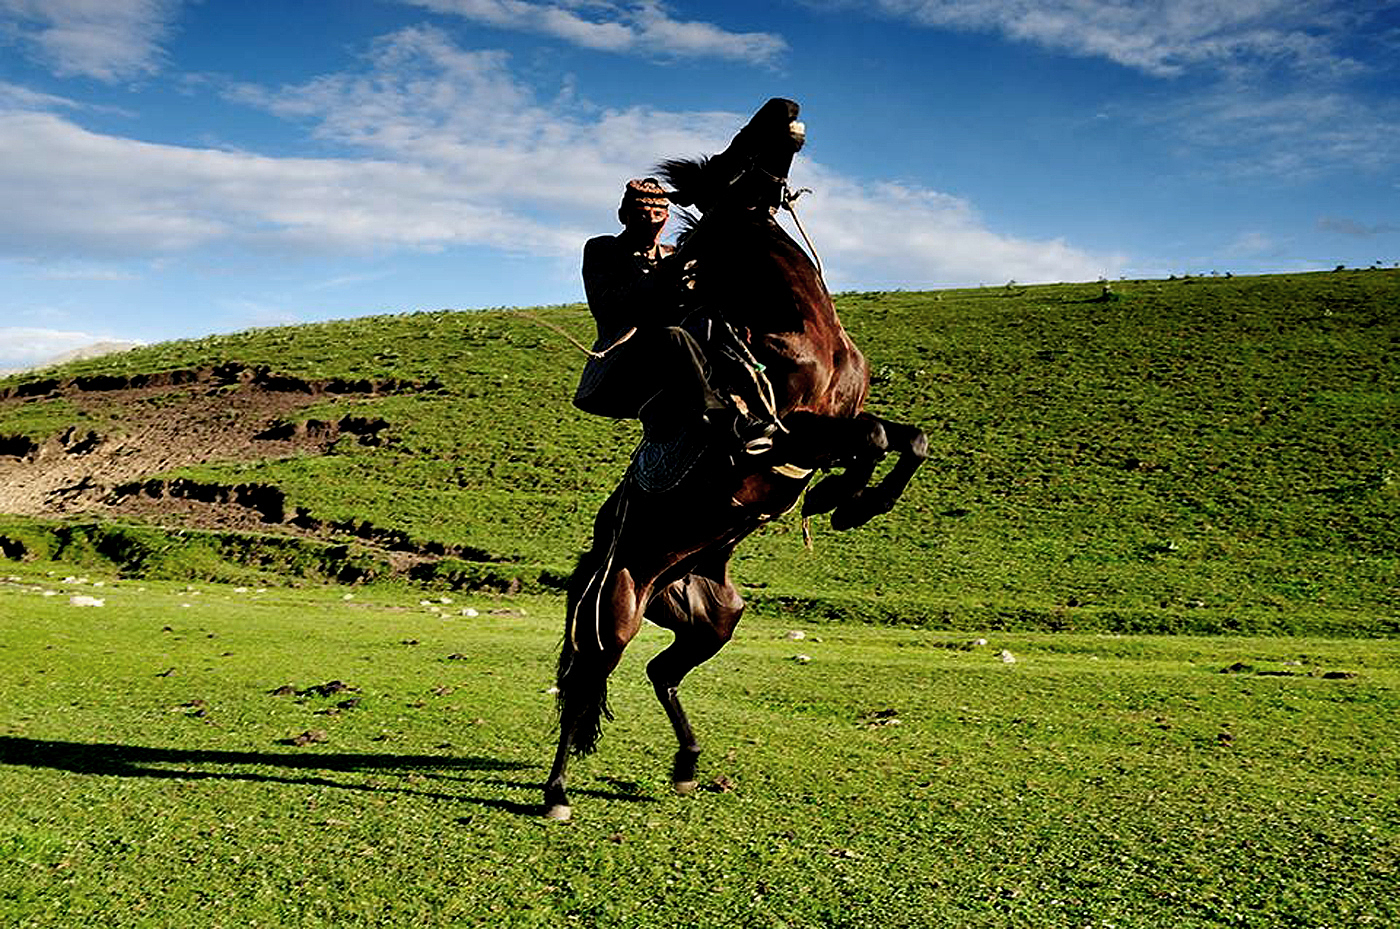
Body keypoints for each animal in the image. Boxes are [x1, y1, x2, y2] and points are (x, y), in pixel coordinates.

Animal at [546, 95, 929, 822]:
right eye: (732, 148)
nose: (786, 105)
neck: (799, 324)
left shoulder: (833, 425)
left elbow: (908, 439)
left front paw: (856, 504)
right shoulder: (791, 433)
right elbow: (868, 438)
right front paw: (840, 501)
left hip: (713, 618)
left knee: (659, 672)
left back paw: (688, 766)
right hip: (618, 608)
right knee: (588, 679)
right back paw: (556, 793)